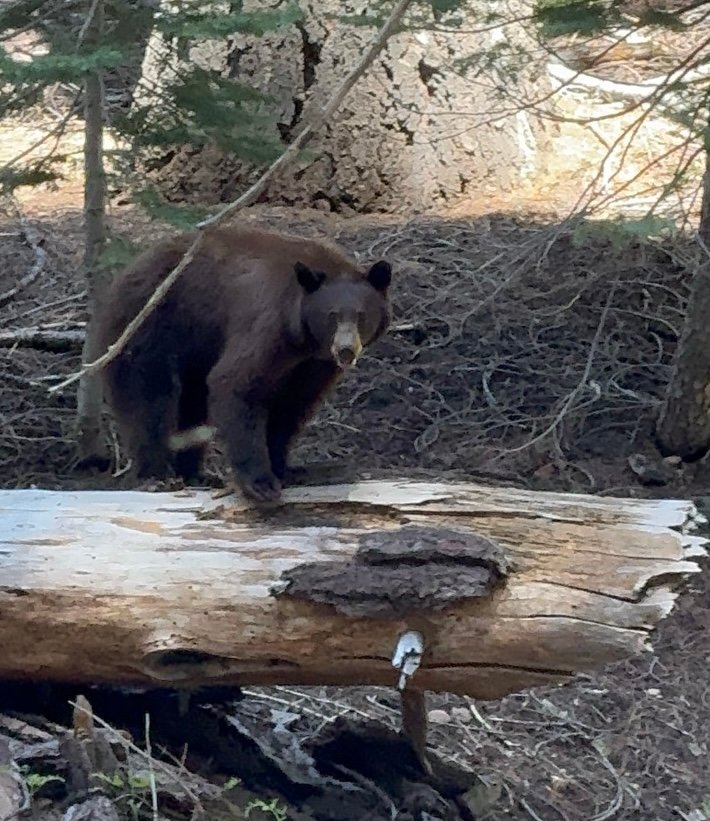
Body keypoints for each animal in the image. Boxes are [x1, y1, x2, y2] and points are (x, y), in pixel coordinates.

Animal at [96, 223, 393, 502]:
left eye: (362, 315)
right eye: (332, 315)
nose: (345, 350)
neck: (304, 339)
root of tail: (125, 272)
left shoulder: (313, 365)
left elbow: (292, 406)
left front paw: (283, 469)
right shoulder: (268, 326)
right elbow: (237, 384)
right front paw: (260, 482)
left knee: (193, 404)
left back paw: (195, 474)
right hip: (148, 326)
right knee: (148, 397)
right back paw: (156, 474)